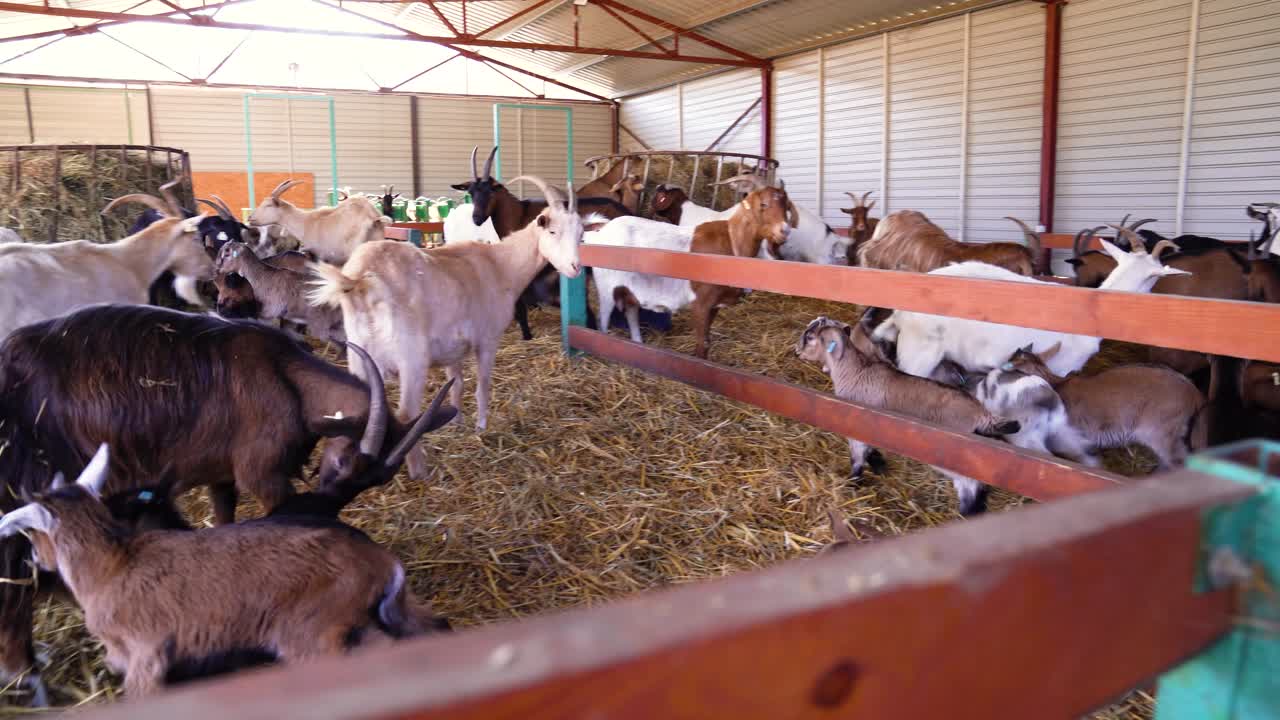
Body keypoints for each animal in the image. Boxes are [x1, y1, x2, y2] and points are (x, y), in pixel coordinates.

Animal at [0, 442, 447, 697]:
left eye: (32, 531)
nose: (36, 560)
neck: (112, 566)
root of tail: (382, 562)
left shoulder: (147, 656)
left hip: (312, 635)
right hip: (380, 617)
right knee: (427, 631)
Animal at [311, 175, 583, 479]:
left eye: (581, 234)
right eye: (553, 231)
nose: (575, 267)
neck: (501, 265)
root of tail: (360, 280)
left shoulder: (453, 347)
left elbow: (457, 386)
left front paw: (457, 422)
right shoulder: (487, 340)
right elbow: (482, 386)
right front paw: (481, 427)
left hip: (359, 355)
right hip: (412, 358)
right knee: (407, 414)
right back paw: (419, 472)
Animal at [795, 316, 1019, 516]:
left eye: (810, 336)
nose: (796, 351)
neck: (855, 372)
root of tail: (981, 414)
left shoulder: (855, 424)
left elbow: (857, 459)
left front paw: (853, 482)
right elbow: (870, 450)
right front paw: (879, 464)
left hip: (954, 455)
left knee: (970, 484)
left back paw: (967, 512)